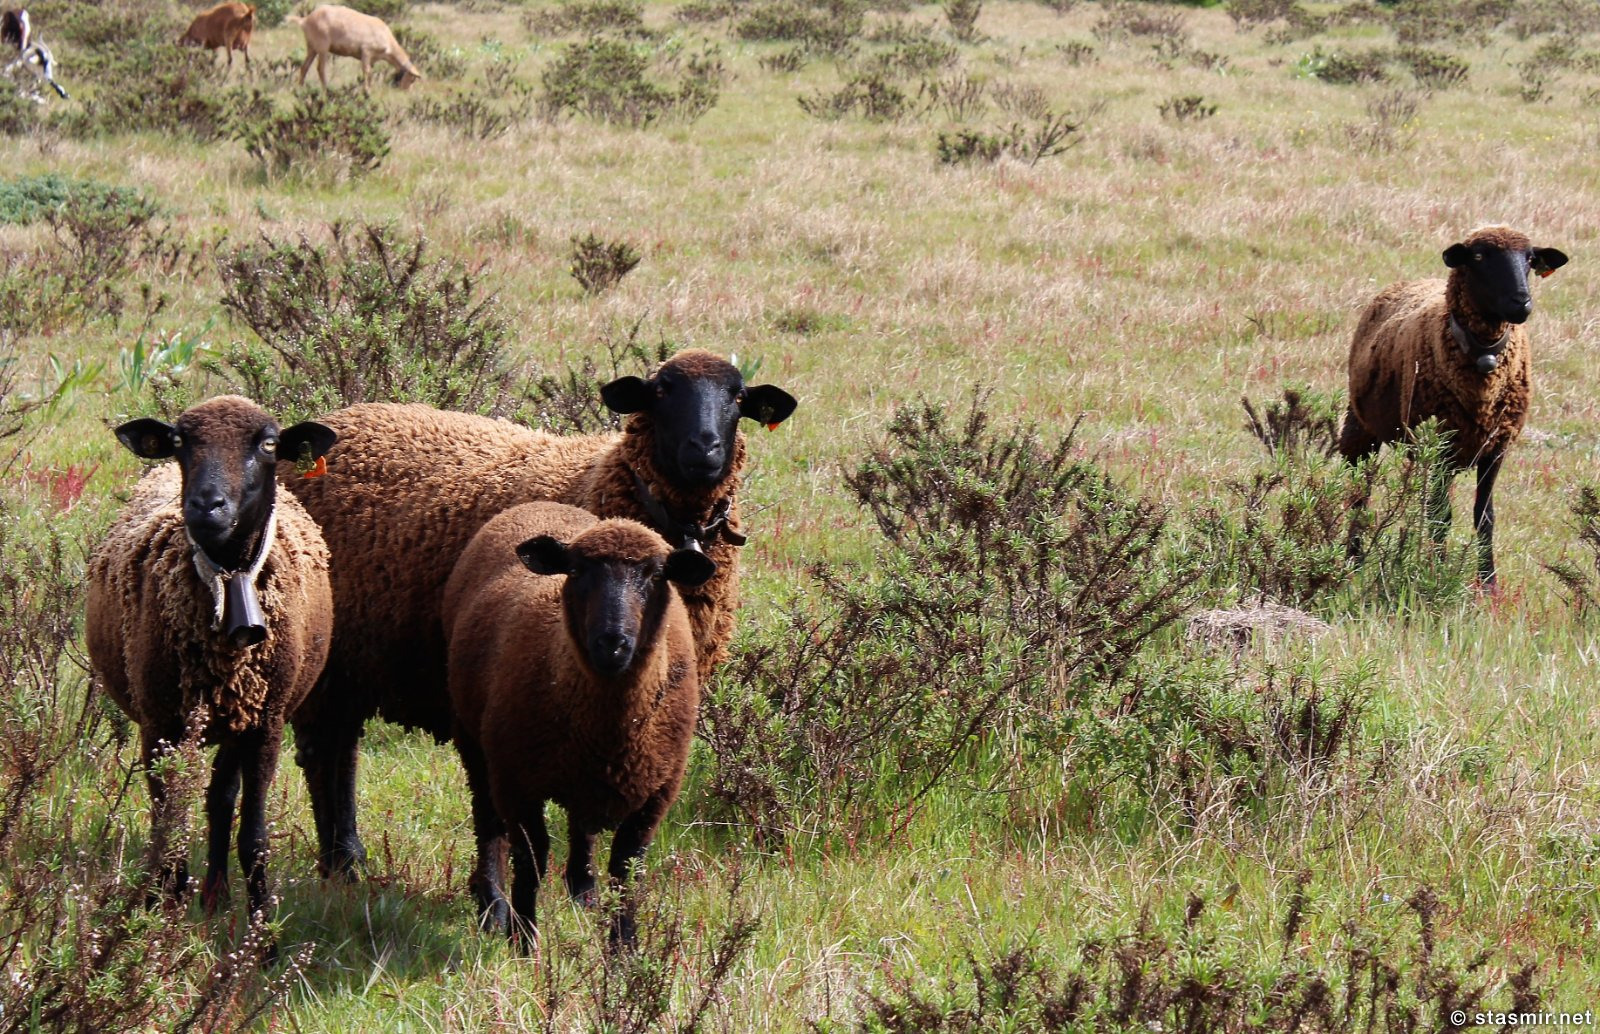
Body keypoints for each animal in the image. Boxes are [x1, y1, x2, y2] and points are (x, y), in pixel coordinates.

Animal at [86, 396, 337, 926]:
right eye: (180, 441)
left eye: (268, 444)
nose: (206, 506)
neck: (228, 581)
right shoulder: (159, 724)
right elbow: (169, 830)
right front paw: (157, 919)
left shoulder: (265, 724)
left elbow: (254, 838)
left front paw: (262, 934)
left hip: (236, 720)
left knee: (220, 799)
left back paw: (216, 894)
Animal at [283, 348, 796, 878]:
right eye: (660, 391)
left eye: (738, 396)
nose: (704, 450)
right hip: (328, 656)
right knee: (324, 753)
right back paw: (341, 860)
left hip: (353, 661)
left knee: (342, 748)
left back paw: (349, 856)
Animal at [287, 4, 421, 90]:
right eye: (412, 79)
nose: (406, 92)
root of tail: (305, 20)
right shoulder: (366, 52)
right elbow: (367, 72)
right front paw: (367, 91)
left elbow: (369, 74)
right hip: (322, 48)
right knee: (320, 69)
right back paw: (326, 89)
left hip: (311, 47)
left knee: (304, 67)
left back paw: (300, 88)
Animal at [443, 502, 713, 946]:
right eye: (577, 570)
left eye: (656, 574)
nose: (612, 643)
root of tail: (537, 504)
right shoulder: (516, 784)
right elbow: (530, 861)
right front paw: (523, 941)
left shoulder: (657, 795)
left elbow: (627, 874)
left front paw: (625, 948)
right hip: (474, 742)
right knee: (488, 824)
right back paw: (493, 906)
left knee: (580, 828)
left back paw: (583, 894)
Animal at [1338, 225, 1569, 584]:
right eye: (1479, 256)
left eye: (1531, 259)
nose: (1522, 304)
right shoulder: (1443, 448)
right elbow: (1440, 514)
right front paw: (1436, 572)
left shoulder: (1495, 448)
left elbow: (1485, 516)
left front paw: (1489, 584)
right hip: (1360, 428)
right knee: (1359, 492)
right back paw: (1354, 558)